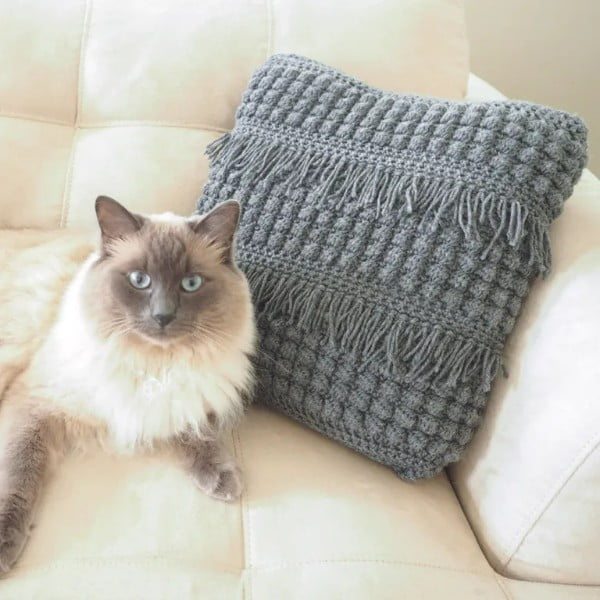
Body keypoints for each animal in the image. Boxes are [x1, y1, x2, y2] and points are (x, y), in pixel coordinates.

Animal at [0, 196, 255, 572]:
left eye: (191, 283)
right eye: (139, 279)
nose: (163, 316)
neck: (153, 362)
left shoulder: (174, 400)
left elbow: (194, 433)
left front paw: (221, 476)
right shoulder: (35, 404)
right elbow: (19, 473)